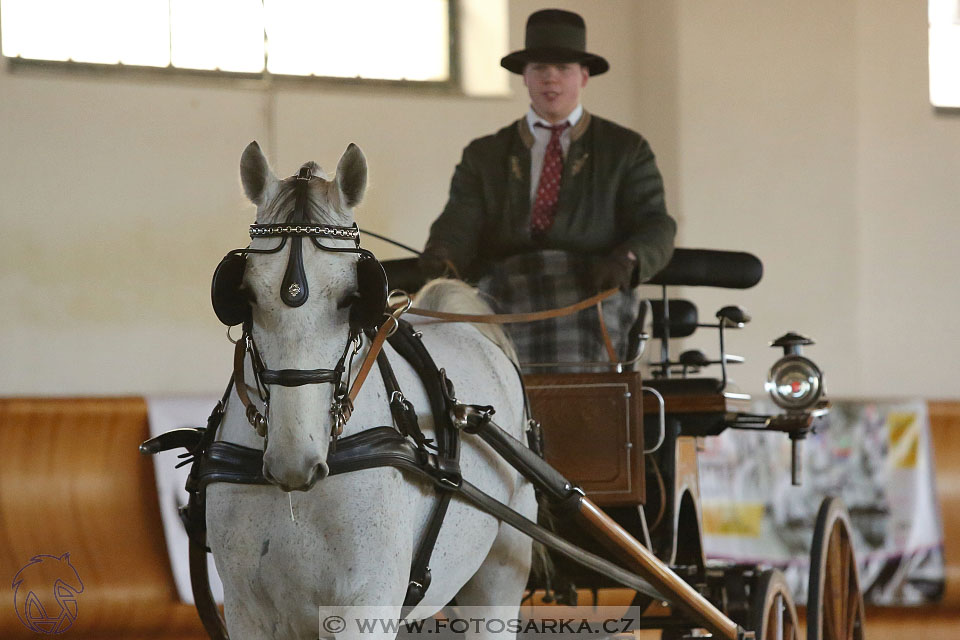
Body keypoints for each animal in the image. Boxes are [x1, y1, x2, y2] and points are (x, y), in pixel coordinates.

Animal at [207, 141, 536, 640]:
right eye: (243, 294)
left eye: (353, 297)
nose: (293, 459)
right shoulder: (248, 612)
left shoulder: (365, 605)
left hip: (502, 572)